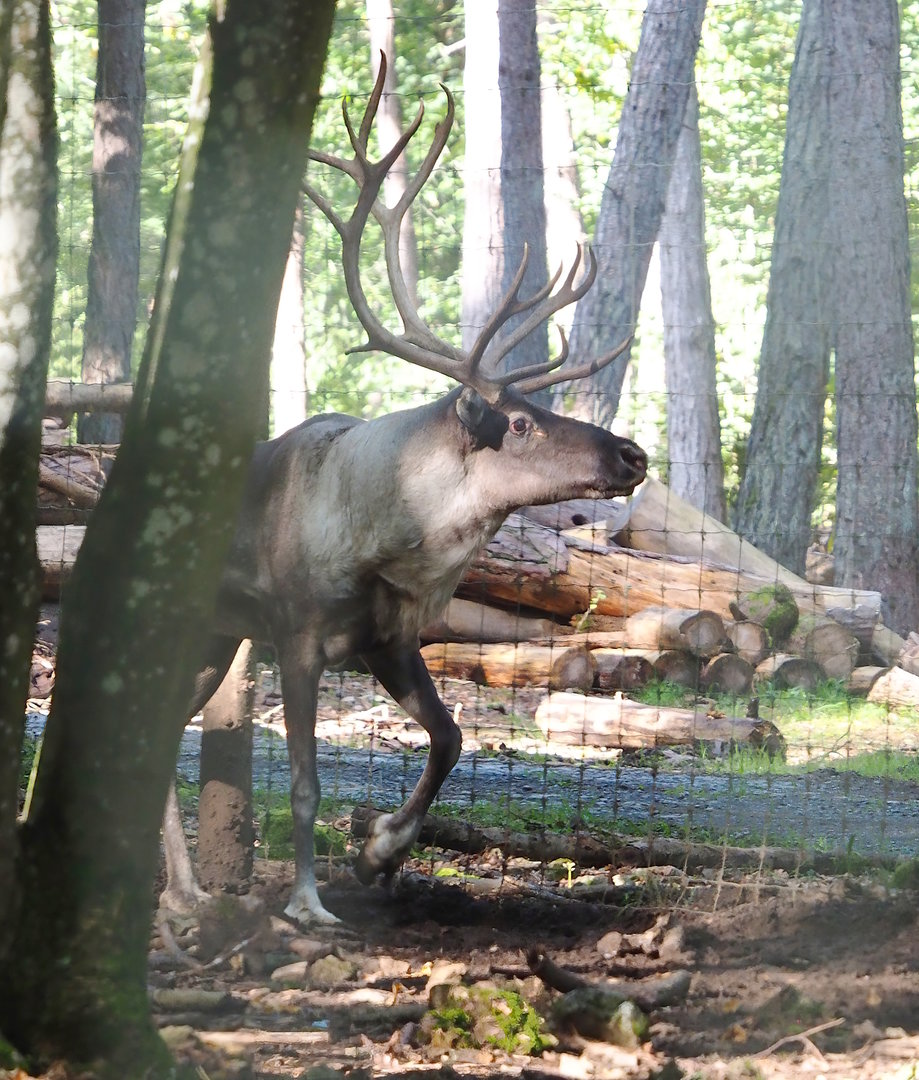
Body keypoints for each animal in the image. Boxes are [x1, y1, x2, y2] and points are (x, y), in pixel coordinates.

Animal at [161, 57, 647, 926]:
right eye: (518, 422)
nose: (631, 453)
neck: (384, 539)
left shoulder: (386, 640)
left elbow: (451, 737)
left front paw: (381, 849)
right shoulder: (295, 635)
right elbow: (306, 783)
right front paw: (308, 903)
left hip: (213, 641)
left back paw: (183, 894)